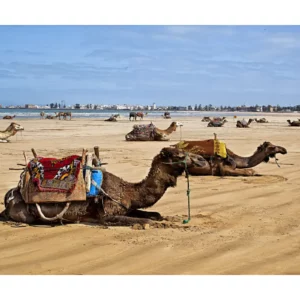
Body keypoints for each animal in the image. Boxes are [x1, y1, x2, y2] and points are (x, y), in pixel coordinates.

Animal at [0, 146, 205, 226]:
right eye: (178, 155)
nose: (202, 160)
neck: (128, 191)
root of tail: (9, 196)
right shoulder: (107, 215)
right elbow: (146, 221)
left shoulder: (127, 207)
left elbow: (154, 214)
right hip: (25, 214)